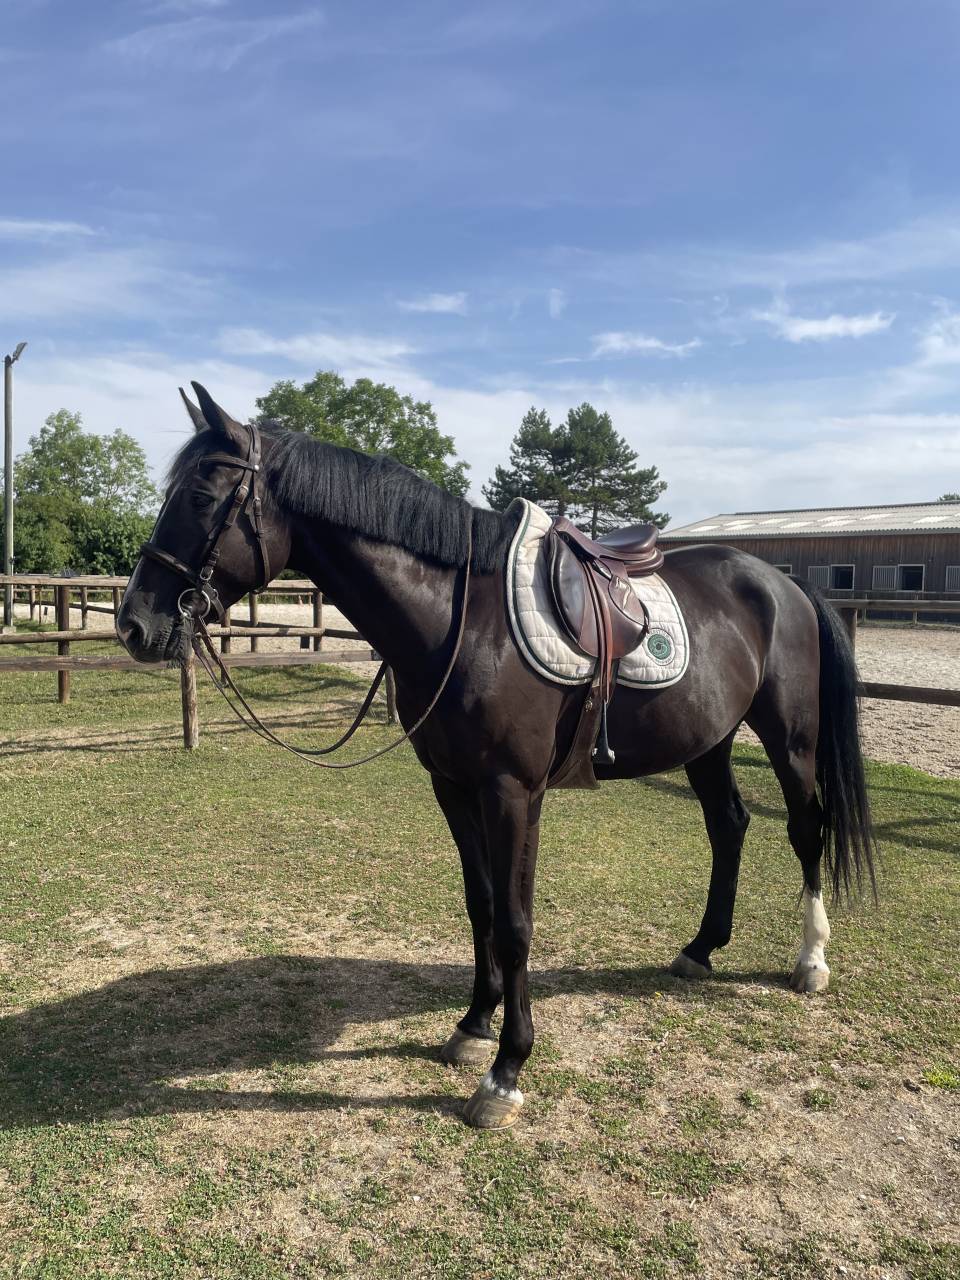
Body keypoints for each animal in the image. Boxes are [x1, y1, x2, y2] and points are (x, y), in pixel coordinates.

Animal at [117, 384, 876, 1130]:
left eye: (200, 497)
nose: (134, 625)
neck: (461, 620)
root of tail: (783, 584)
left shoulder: (513, 791)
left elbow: (514, 923)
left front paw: (506, 1072)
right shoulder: (452, 786)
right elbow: (480, 902)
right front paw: (473, 1025)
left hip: (790, 738)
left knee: (804, 828)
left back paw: (811, 961)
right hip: (708, 741)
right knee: (729, 825)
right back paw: (701, 949)